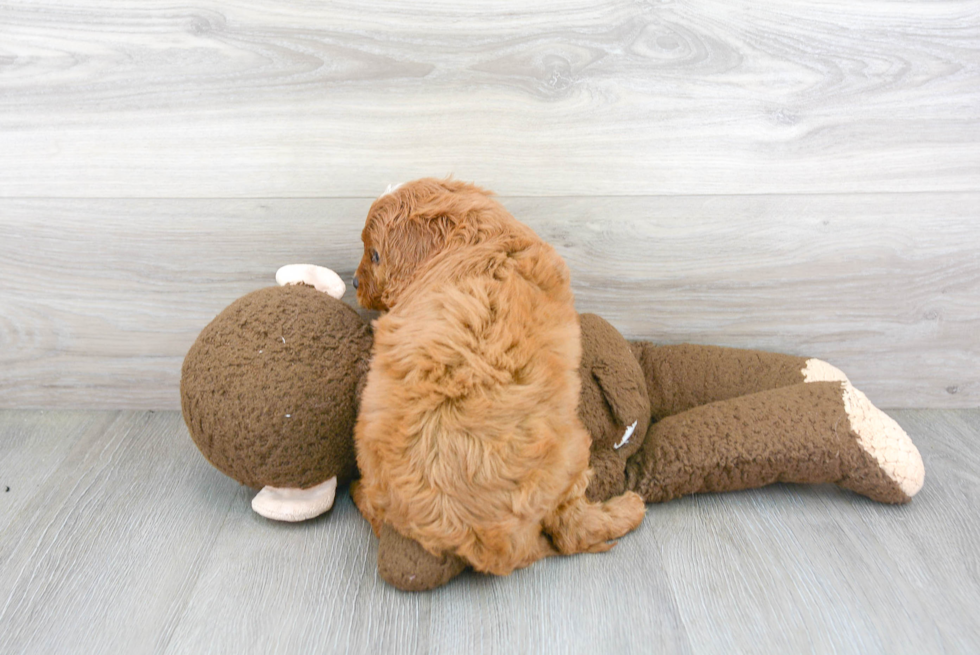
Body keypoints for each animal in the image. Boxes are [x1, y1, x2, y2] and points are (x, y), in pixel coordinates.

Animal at [350, 178, 644, 576]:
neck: (476, 237)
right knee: (572, 532)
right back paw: (629, 509)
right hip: (571, 454)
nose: (353, 282)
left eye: (376, 255)